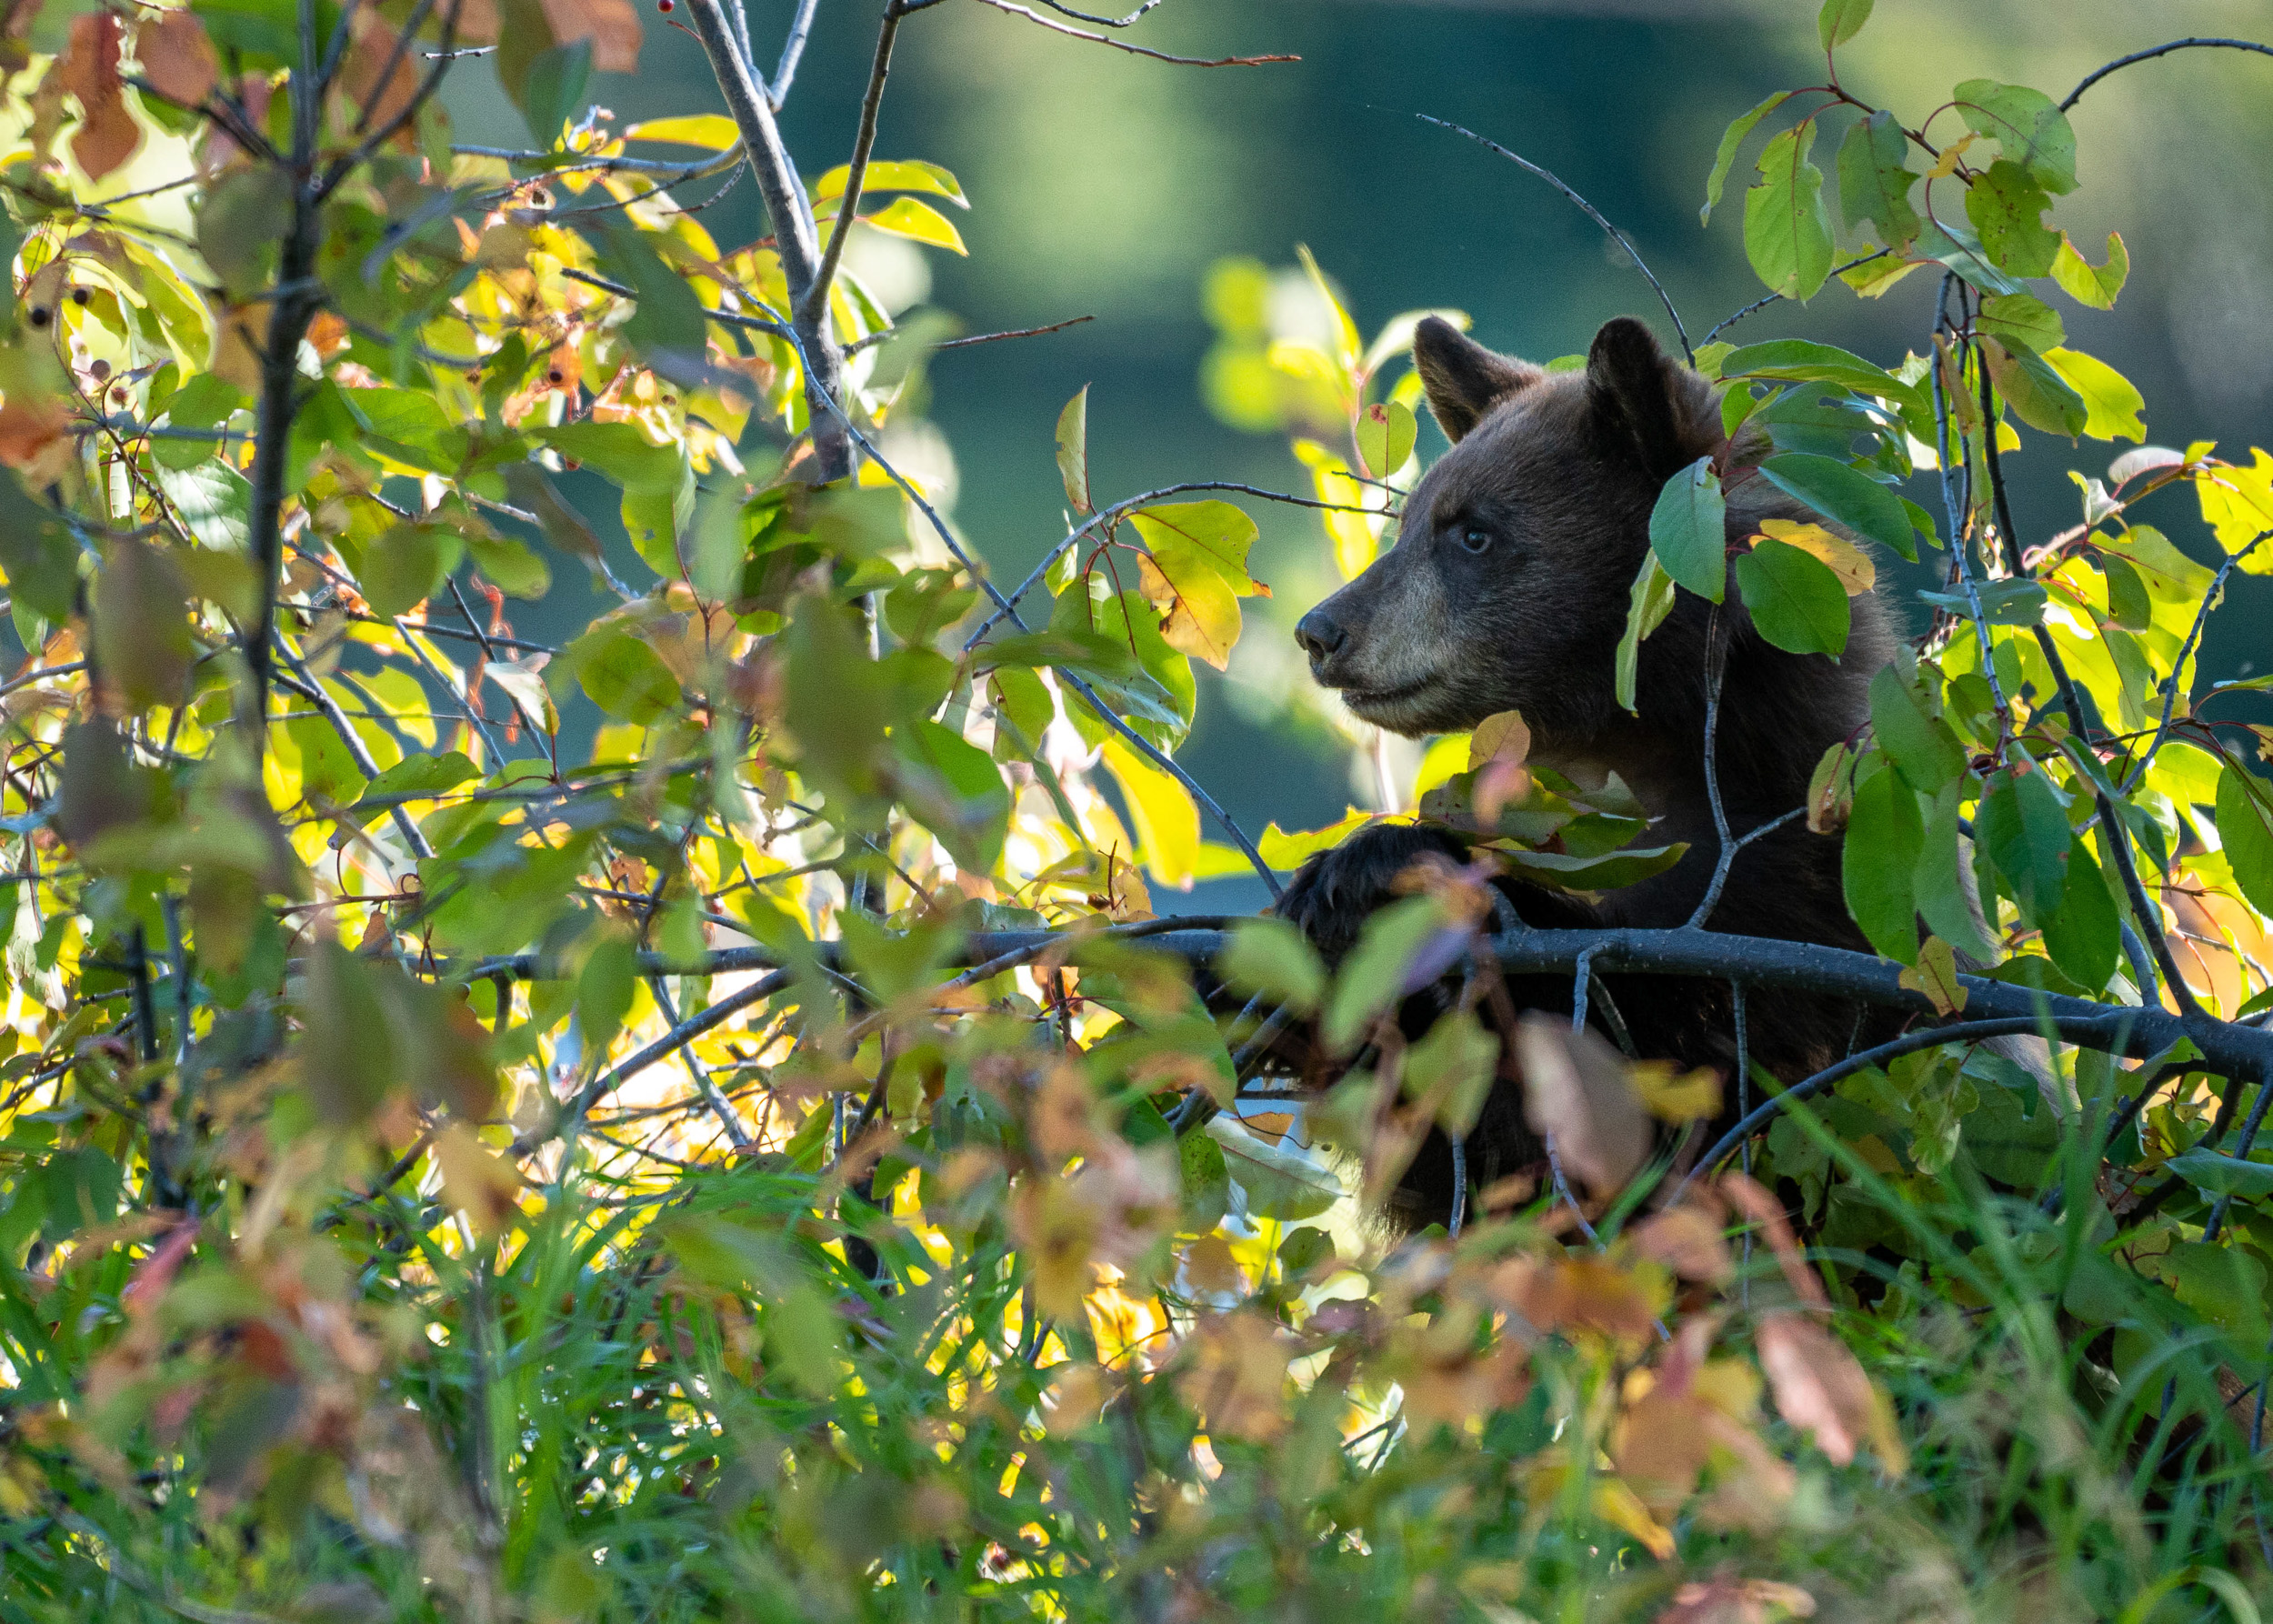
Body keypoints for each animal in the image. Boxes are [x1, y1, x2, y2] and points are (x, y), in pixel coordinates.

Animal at [1282, 309, 1900, 1218]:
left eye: (1474, 532)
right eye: (1410, 522)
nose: (1322, 631)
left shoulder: (1802, 895)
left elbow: (1664, 1045)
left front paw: (1377, 864)